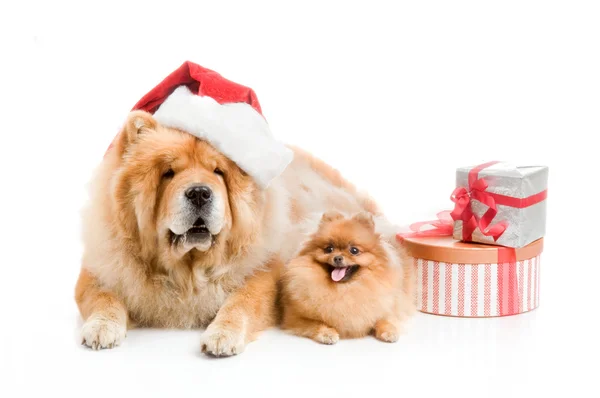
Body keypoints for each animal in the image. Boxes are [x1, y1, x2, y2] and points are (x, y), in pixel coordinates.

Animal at [280, 211, 412, 346]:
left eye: (354, 250)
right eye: (329, 249)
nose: (337, 257)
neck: (344, 289)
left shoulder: (387, 308)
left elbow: (385, 319)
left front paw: (390, 331)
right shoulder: (293, 317)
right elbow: (316, 324)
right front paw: (327, 333)